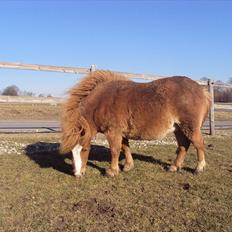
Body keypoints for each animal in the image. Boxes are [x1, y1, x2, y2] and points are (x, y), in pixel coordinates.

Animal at [60, 70, 211, 178]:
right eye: (71, 152)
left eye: (85, 149)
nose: (78, 174)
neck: (102, 102)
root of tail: (201, 89)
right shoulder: (121, 132)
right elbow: (125, 148)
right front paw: (128, 166)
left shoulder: (112, 132)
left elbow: (115, 150)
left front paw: (112, 171)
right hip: (178, 129)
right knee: (183, 146)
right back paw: (174, 167)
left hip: (189, 128)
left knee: (199, 144)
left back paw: (199, 168)